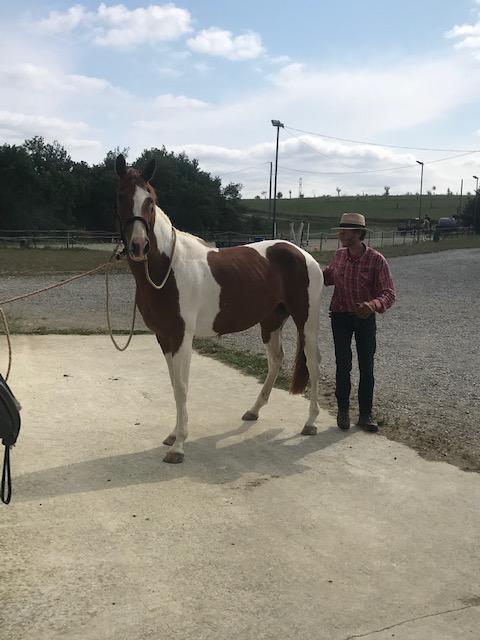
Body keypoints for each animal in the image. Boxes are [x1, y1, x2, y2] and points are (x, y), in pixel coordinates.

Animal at [115, 154, 323, 463]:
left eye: (150, 199)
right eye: (120, 197)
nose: (139, 246)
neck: (167, 270)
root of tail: (302, 253)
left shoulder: (182, 338)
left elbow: (182, 387)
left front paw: (178, 446)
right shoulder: (164, 337)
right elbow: (174, 385)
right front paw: (173, 436)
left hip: (306, 321)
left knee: (313, 361)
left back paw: (310, 422)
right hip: (271, 321)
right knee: (276, 360)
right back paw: (254, 410)